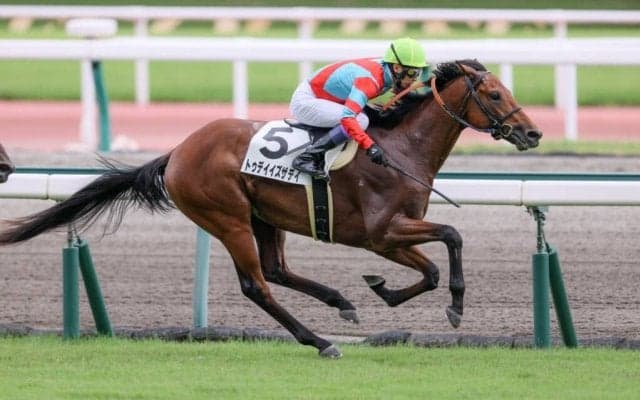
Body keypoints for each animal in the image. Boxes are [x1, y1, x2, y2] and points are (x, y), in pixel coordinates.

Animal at [0, 59, 541, 357]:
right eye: (495, 94)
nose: (533, 132)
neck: (400, 149)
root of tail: (176, 152)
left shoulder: (391, 235)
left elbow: (430, 267)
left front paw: (382, 291)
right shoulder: (381, 232)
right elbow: (451, 235)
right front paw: (453, 305)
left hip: (266, 217)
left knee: (277, 269)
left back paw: (339, 304)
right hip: (228, 218)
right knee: (257, 284)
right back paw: (320, 341)